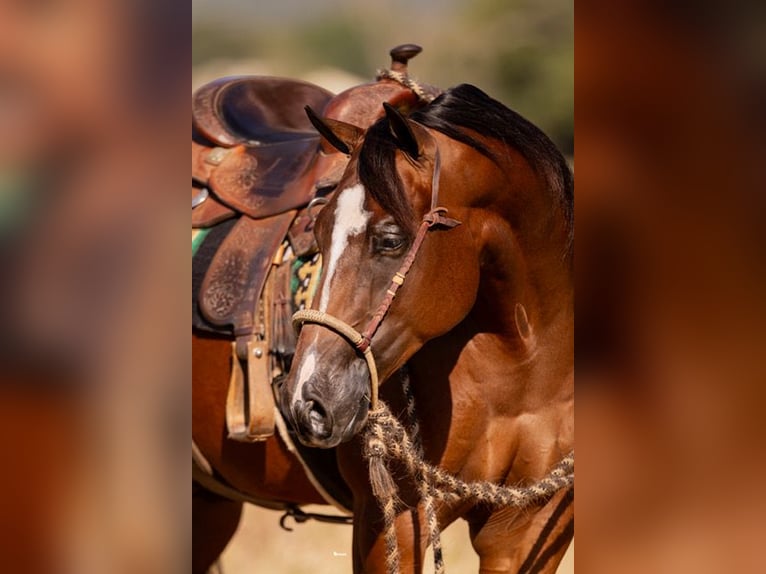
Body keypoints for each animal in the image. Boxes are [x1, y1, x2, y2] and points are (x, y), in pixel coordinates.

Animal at [278, 83, 574, 573]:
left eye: (391, 239)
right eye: (317, 232)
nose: (306, 403)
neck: (523, 368)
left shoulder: (528, 529)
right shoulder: (391, 520)